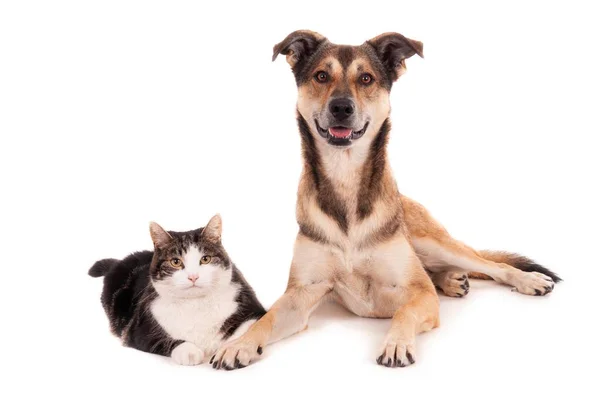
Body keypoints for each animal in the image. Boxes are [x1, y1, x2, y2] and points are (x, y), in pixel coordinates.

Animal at [88, 214, 264, 368]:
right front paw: (190, 351)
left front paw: (233, 349)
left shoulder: (251, 305)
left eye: (205, 259)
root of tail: (119, 261)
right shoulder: (138, 329)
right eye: (175, 262)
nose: (193, 277)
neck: (195, 304)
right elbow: (162, 340)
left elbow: (249, 328)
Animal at [209, 29, 560, 370]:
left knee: (489, 264)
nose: (341, 107)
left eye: (366, 78)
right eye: (321, 76)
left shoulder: (421, 294)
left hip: (436, 242)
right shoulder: (301, 293)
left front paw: (396, 344)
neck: (345, 176)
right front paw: (239, 345)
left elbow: (406, 310)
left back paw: (525, 279)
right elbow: (265, 319)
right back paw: (451, 279)